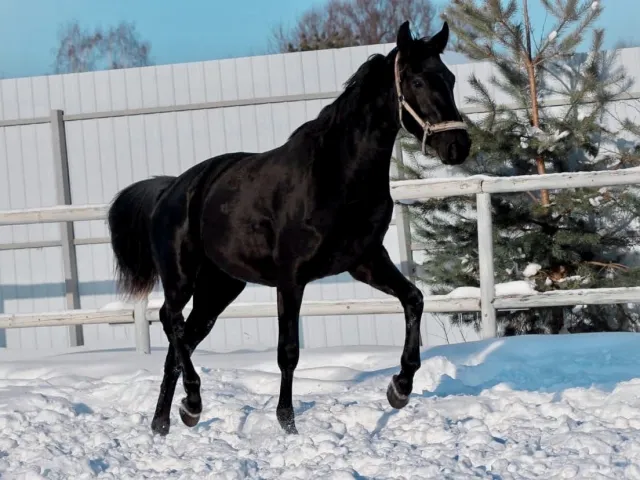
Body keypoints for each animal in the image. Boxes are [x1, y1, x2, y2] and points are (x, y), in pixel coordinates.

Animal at [107, 20, 470, 436]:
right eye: (417, 81)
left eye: (449, 78)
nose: (458, 145)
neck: (337, 176)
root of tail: (170, 189)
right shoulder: (291, 277)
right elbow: (289, 351)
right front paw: (287, 423)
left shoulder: (365, 261)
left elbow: (414, 299)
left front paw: (400, 388)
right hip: (181, 278)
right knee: (172, 322)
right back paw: (193, 403)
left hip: (219, 288)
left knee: (181, 340)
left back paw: (168, 419)